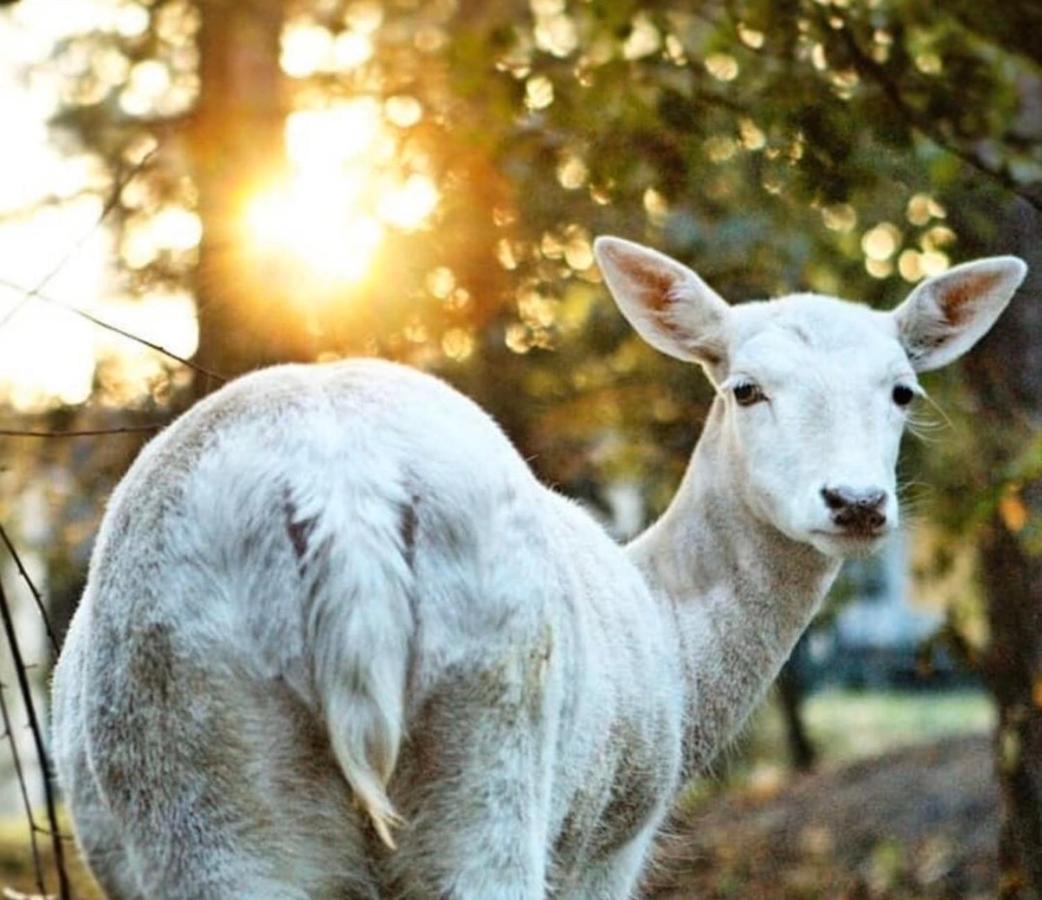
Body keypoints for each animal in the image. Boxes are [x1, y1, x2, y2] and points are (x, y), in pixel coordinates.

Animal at [52, 235, 1021, 895]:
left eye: (903, 391)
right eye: (744, 388)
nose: (855, 502)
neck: (677, 653)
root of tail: (343, 491)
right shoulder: (615, 836)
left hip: (196, 743)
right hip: (493, 734)